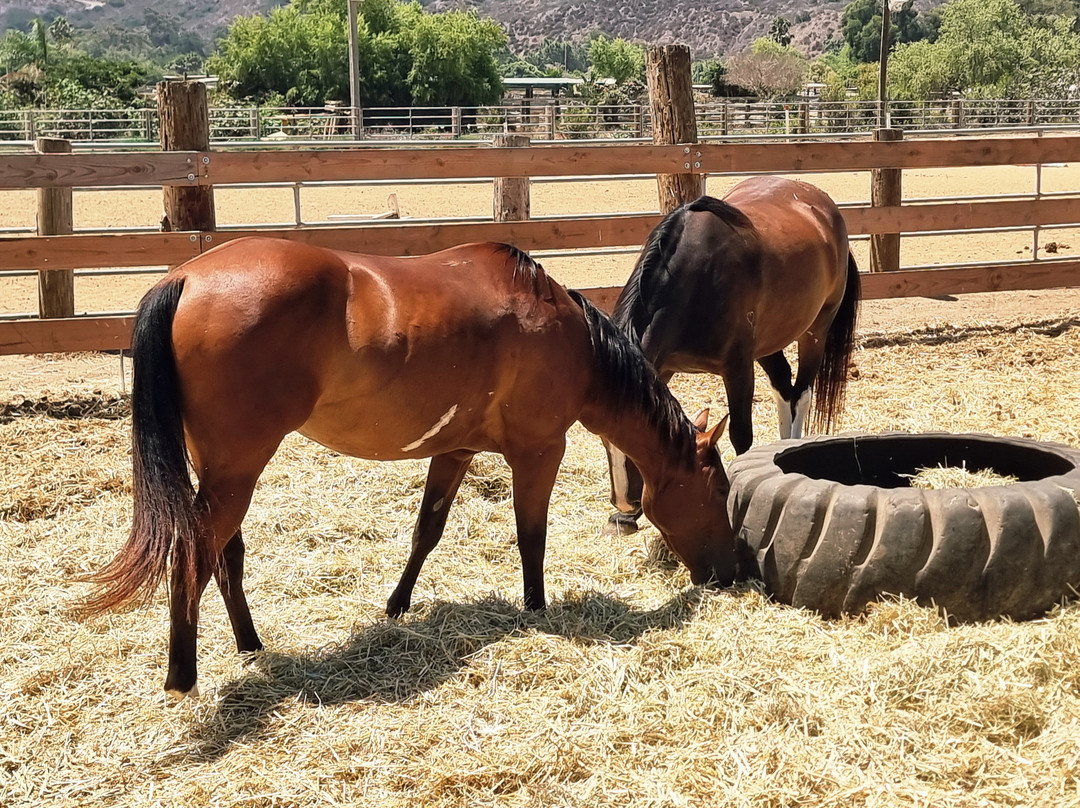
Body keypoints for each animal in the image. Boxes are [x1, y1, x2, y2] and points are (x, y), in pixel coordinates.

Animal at [78, 236, 736, 699]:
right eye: (716, 492)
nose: (728, 574)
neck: (568, 336)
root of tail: (187, 277)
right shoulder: (540, 450)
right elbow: (531, 536)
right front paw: (536, 609)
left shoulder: (455, 451)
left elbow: (427, 531)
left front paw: (396, 606)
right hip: (236, 471)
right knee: (194, 555)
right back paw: (182, 677)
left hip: (218, 470)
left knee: (223, 556)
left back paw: (249, 643)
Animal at [604, 176, 861, 535]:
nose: (625, 505)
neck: (696, 279)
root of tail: (822, 205)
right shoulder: (663, 367)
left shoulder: (737, 368)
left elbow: (741, 433)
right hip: (769, 343)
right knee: (784, 387)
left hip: (815, 331)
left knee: (802, 393)